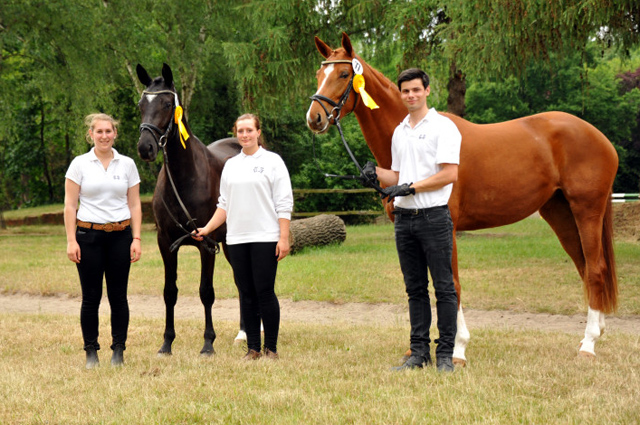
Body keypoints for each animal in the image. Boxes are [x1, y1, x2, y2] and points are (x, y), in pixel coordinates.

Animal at [135, 63, 242, 354]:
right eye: (141, 104)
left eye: (166, 103)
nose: (145, 147)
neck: (185, 178)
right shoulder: (166, 243)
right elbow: (169, 292)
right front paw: (167, 343)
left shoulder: (206, 243)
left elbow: (206, 292)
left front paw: (208, 343)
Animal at [308, 34, 616, 364]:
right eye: (318, 73)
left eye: (343, 74)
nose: (314, 117)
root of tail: (599, 137)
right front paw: (416, 349)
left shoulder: (447, 228)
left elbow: (451, 283)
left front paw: (457, 348)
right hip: (559, 213)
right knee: (584, 266)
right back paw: (596, 332)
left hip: (587, 210)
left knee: (595, 269)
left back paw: (589, 343)